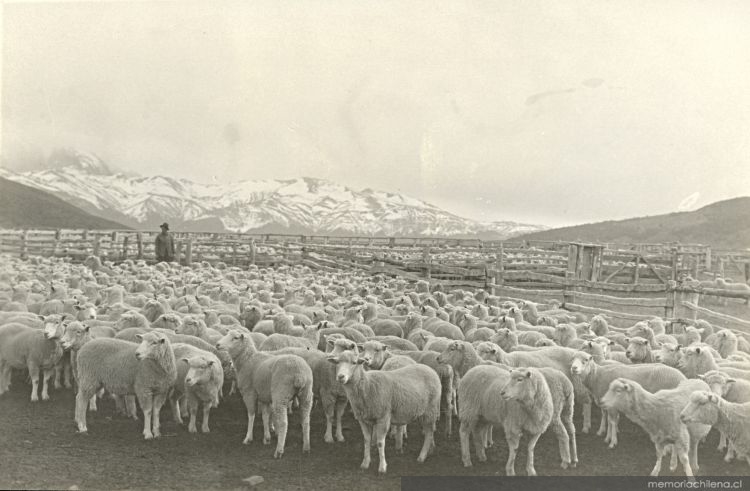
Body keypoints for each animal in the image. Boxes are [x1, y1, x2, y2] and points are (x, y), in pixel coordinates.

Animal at [216, 328, 312, 460]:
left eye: (235, 338)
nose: (217, 344)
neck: (247, 360)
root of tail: (299, 373)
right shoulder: (264, 396)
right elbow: (265, 416)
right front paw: (267, 438)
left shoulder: (249, 393)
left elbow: (251, 415)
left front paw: (248, 438)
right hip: (306, 394)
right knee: (306, 420)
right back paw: (306, 447)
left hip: (280, 395)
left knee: (283, 423)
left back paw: (279, 451)